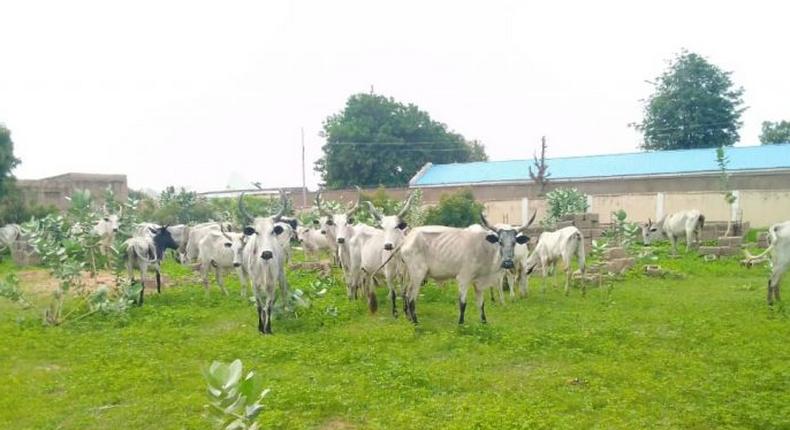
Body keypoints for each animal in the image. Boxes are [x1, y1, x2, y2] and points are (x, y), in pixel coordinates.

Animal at [241, 191, 294, 336]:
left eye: (272, 231)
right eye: (256, 232)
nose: (266, 253)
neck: (263, 263)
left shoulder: (272, 283)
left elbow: (269, 305)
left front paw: (268, 328)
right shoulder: (254, 284)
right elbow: (260, 306)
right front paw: (260, 327)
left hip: (281, 274)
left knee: (283, 290)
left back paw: (286, 309)